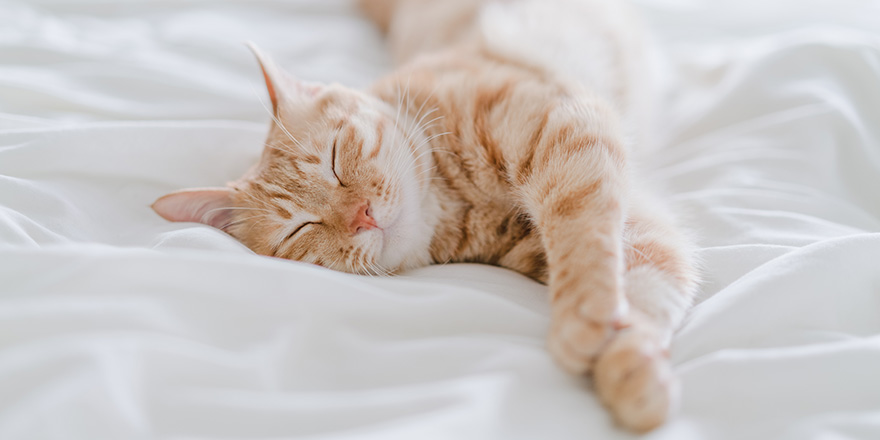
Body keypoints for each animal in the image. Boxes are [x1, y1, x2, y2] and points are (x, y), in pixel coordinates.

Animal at [153, 0, 700, 432]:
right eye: (300, 229)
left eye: (334, 160)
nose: (362, 216)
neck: (457, 202)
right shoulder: (631, 223)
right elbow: (644, 286)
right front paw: (633, 372)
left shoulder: (566, 128)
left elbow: (585, 243)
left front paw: (586, 324)